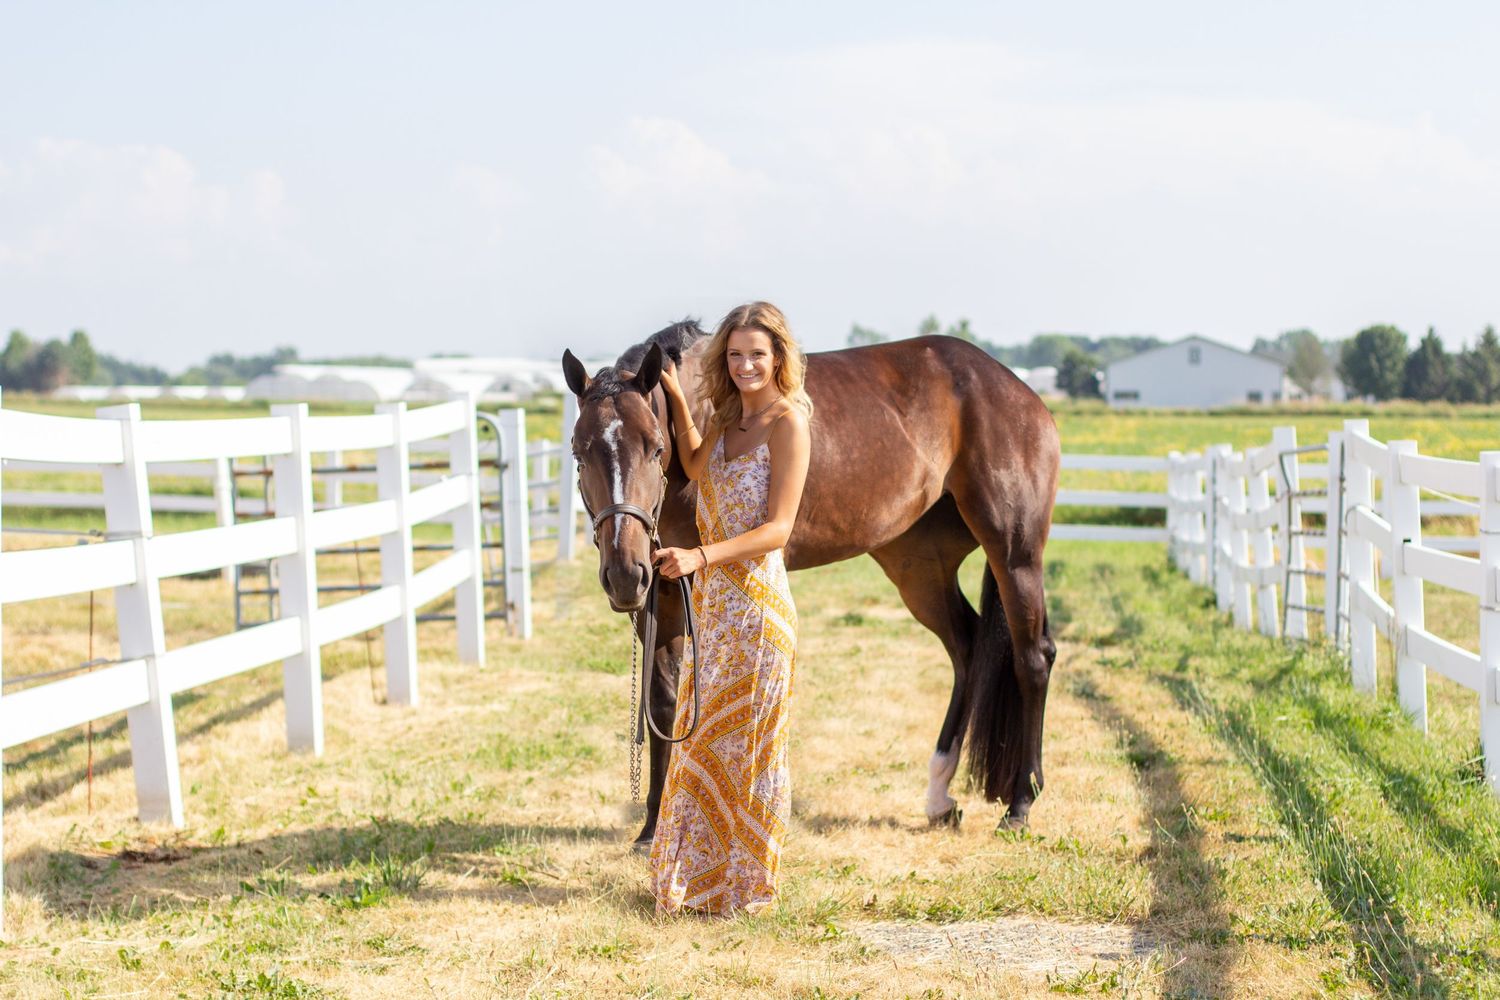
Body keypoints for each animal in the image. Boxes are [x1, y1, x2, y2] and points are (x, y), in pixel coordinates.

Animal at [561, 322, 1060, 846]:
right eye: (579, 451)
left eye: (655, 447)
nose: (623, 572)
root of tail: (1018, 392)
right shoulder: (657, 593)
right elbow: (661, 700)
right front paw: (652, 826)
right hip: (920, 565)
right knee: (966, 648)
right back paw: (940, 795)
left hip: (1015, 554)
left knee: (1032, 658)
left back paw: (1021, 804)